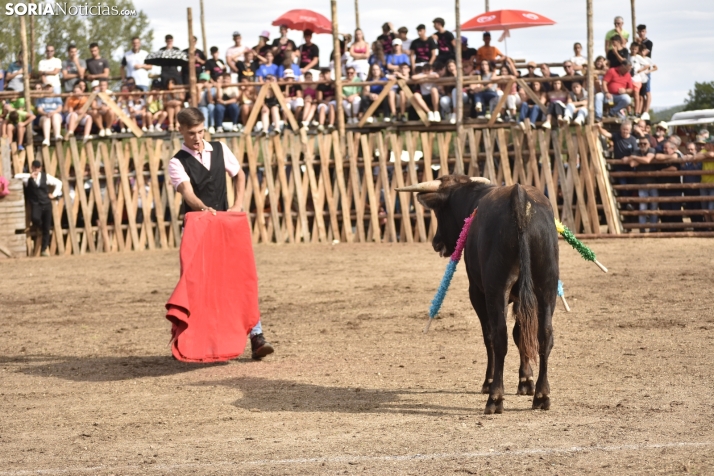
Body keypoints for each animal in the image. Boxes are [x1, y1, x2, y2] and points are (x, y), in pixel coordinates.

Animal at [400, 175, 556, 412]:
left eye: (439, 212)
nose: (436, 242)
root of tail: (519, 198)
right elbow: (521, 334)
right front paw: (526, 381)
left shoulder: (477, 292)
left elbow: (490, 336)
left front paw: (489, 382)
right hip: (547, 287)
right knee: (544, 335)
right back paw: (541, 395)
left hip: (495, 289)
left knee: (499, 336)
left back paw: (495, 397)